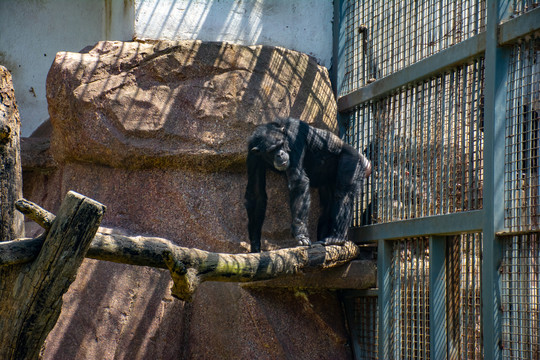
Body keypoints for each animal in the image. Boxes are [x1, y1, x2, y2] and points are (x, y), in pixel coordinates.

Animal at [245, 118, 372, 253]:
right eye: (272, 150)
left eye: (280, 145)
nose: (280, 154)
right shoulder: (252, 155)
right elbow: (256, 194)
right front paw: (255, 244)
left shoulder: (294, 138)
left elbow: (298, 181)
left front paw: (300, 233)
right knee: (327, 205)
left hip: (353, 161)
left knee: (343, 194)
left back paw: (336, 237)